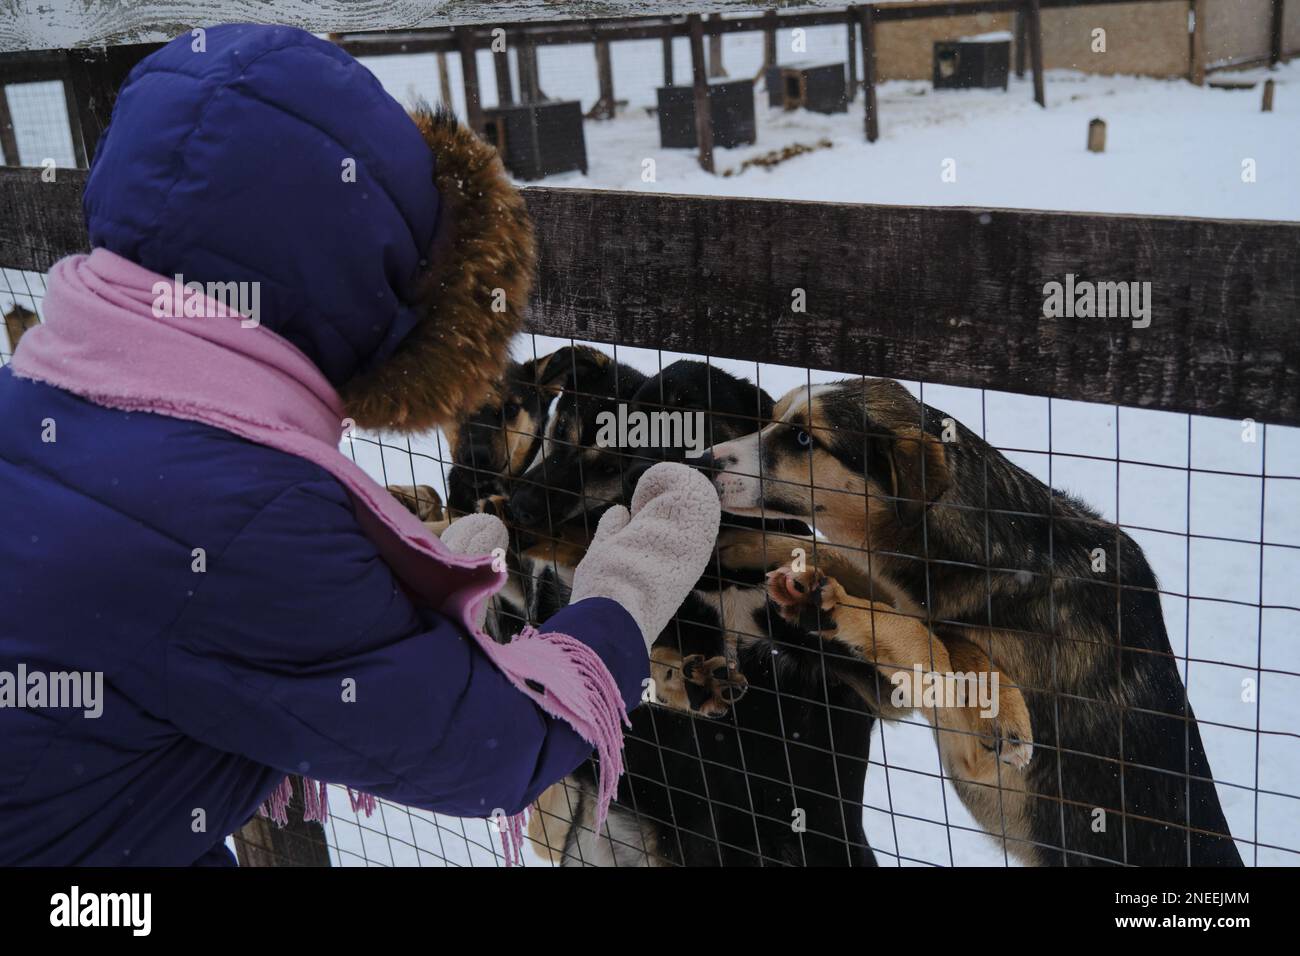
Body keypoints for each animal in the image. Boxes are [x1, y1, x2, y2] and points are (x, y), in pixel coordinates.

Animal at [707, 377, 1242, 868]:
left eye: (803, 439)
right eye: (771, 419)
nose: (707, 461)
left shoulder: (984, 764)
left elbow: (922, 639)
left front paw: (825, 602)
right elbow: (910, 619)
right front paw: (753, 546)